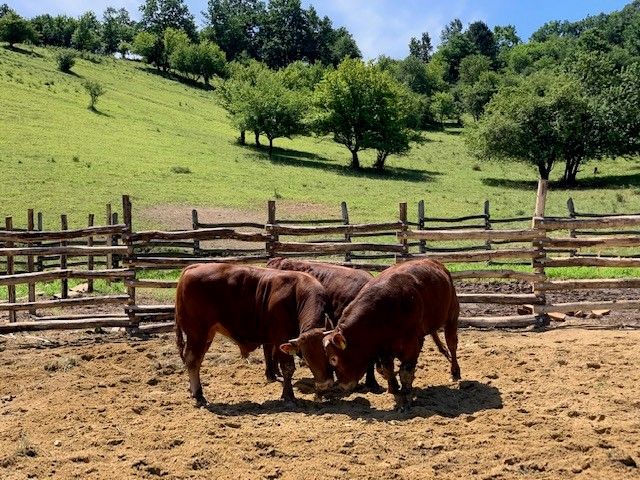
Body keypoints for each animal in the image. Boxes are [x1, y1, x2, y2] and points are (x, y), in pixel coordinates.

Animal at [176, 262, 336, 404]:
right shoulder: (281, 338)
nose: (325, 384)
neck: (297, 293)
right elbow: (288, 368)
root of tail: (194, 267)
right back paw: (199, 395)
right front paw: (288, 395)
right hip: (197, 333)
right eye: (306, 358)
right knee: (192, 359)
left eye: (327, 354)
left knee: (197, 360)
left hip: (207, 335)